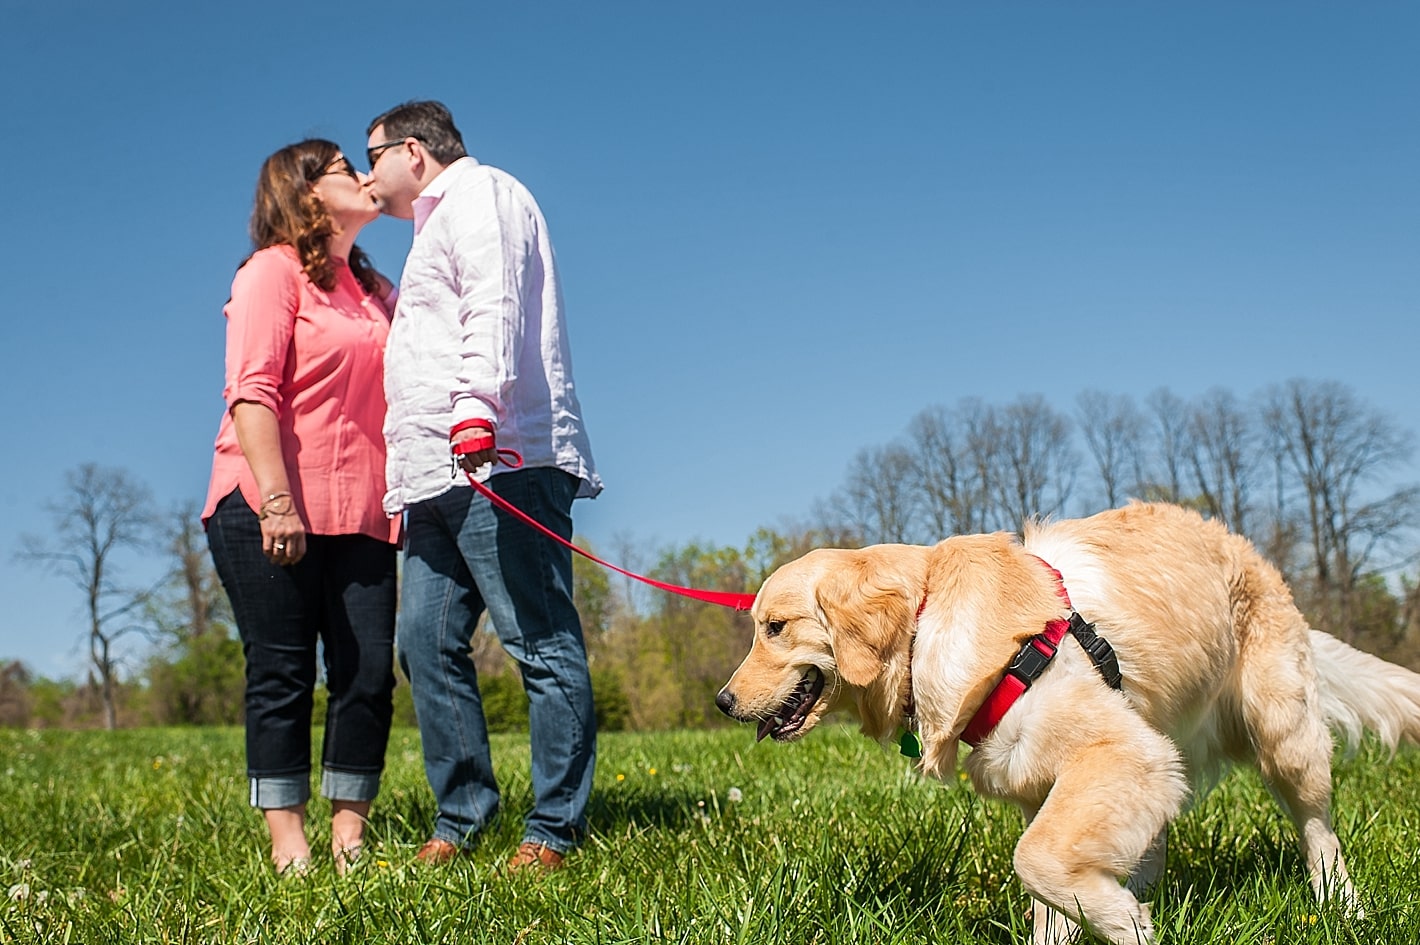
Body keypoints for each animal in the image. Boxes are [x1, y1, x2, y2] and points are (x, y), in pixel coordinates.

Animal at [715, 500, 1420, 943]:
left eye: (774, 627)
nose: (722, 701)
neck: (926, 621)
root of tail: (1250, 551)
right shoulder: (1037, 782)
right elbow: (1049, 891)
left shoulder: (1116, 750)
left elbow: (1036, 860)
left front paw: (1124, 921)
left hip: (1281, 735)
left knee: (1319, 830)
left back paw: (1340, 907)